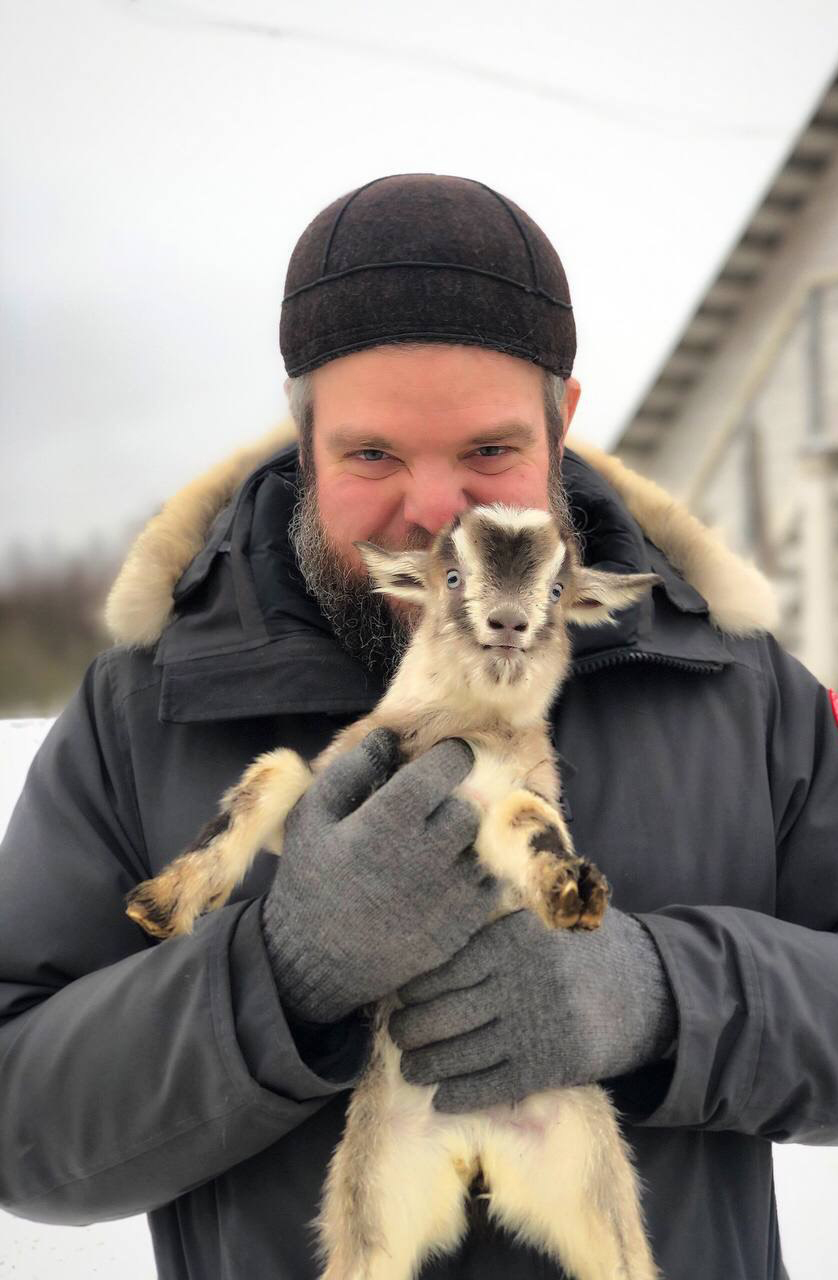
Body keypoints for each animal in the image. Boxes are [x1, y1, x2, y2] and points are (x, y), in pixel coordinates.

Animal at [126, 499, 660, 1280]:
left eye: (558, 591)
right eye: (451, 575)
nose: (507, 624)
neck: (459, 725)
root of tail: (477, 1148)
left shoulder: (505, 800)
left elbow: (525, 821)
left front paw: (572, 891)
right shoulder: (331, 787)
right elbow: (272, 773)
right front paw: (162, 903)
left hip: (591, 1184)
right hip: (377, 1203)